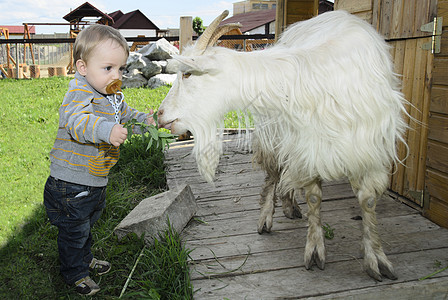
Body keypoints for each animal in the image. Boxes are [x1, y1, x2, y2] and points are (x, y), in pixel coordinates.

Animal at [159, 9, 408, 282]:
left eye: (187, 73)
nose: (159, 114)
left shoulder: (367, 149)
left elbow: (368, 201)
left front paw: (377, 258)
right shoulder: (306, 145)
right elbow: (314, 197)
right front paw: (315, 250)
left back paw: (289, 205)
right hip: (277, 137)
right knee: (274, 175)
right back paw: (269, 217)